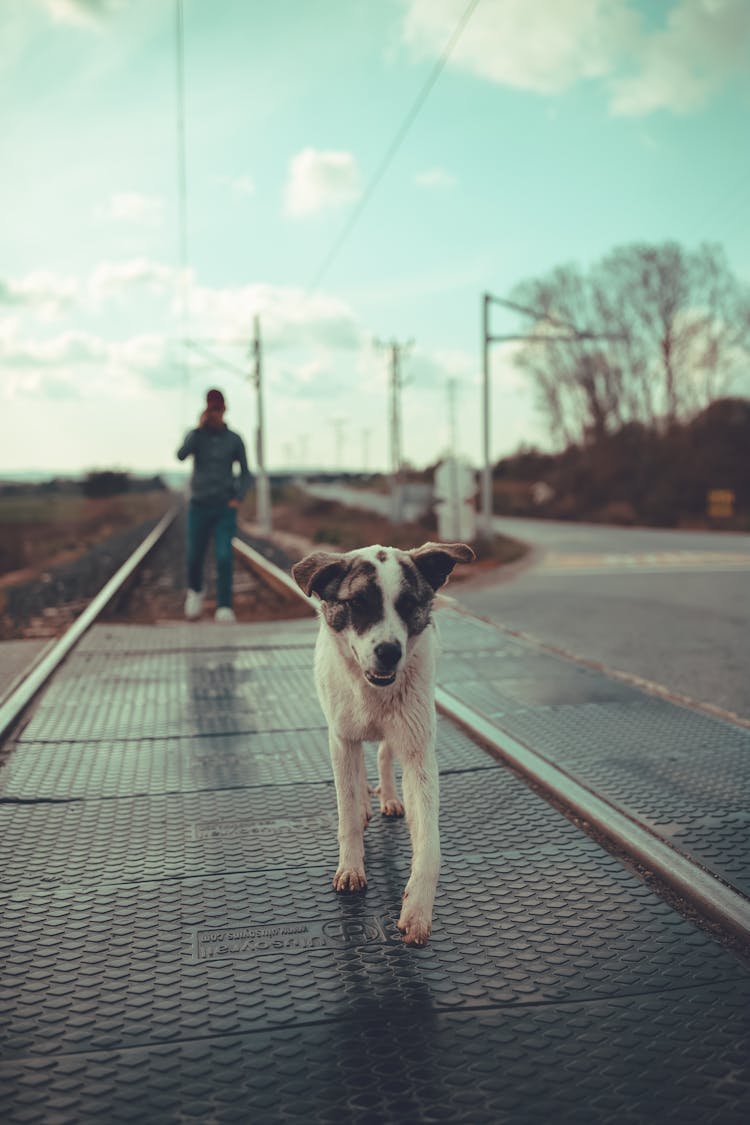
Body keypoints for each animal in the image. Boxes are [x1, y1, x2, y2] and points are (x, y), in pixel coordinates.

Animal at [292, 540, 474, 945]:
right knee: (359, 773)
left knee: (383, 756)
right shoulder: (341, 739)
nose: (389, 652)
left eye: (408, 605)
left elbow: (429, 844)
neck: (372, 692)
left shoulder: (419, 750)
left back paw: (389, 798)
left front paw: (417, 910)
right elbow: (345, 812)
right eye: (359, 603)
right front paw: (351, 867)